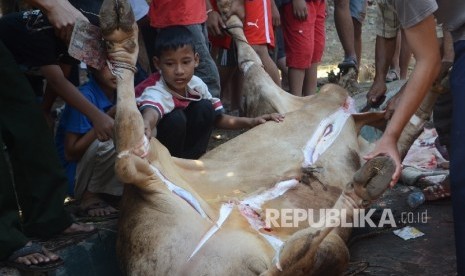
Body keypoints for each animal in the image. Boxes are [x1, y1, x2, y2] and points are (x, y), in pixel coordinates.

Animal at [99, 1, 442, 274]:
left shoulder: (286, 104)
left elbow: (251, 62)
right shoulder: (282, 99)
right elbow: (254, 63)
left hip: (158, 178)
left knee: (131, 159)